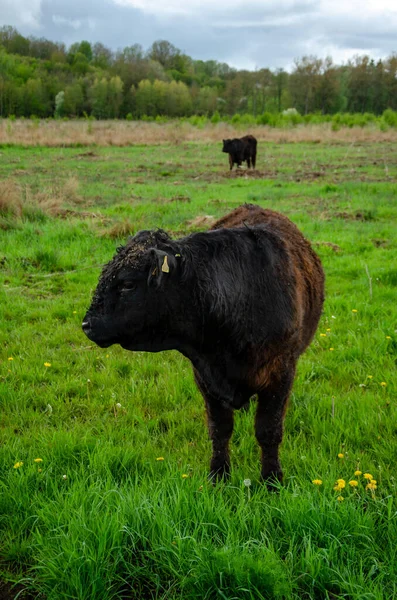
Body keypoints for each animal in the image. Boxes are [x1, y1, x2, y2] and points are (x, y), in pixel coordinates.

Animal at [82, 204, 324, 486]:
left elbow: (268, 430)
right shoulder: (205, 375)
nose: (87, 324)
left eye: (127, 284)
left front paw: (272, 479)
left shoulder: (281, 372)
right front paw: (218, 474)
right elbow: (220, 429)